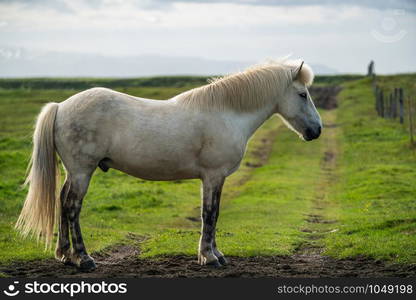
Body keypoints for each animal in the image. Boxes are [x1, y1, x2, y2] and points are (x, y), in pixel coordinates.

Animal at [15, 59, 322, 270]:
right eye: (302, 94)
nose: (317, 131)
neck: (227, 113)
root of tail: (61, 106)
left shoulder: (215, 178)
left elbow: (213, 214)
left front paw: (215, 254)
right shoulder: (213, 176)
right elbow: (210, 214)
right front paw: (209, 257)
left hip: (74, 172)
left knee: (62, 201)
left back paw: (65, 255)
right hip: (82, 171)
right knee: (72, 207)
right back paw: (83, 258)